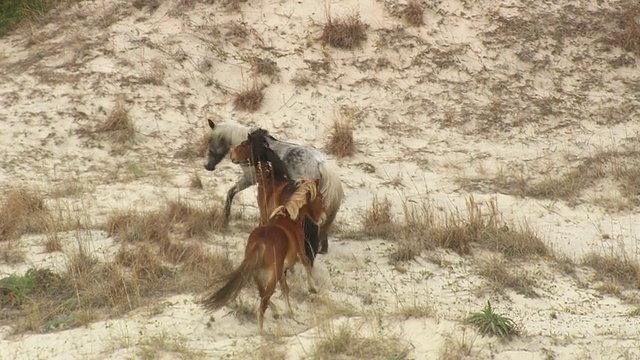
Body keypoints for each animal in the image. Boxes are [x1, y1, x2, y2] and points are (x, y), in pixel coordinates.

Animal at [205, 120, 344, 253]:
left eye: (210, 140)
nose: (208, 166)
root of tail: (319, 162)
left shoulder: (249, 179)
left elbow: (232, 192)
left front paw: (226, 217)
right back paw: (322, 247)